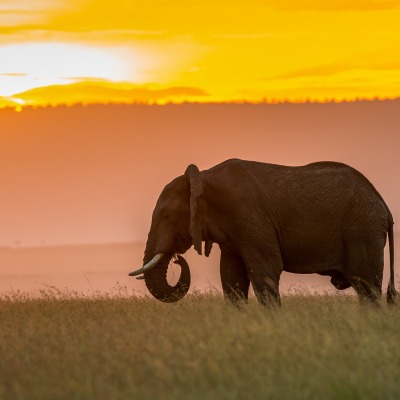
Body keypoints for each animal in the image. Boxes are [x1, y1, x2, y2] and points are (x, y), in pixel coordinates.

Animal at [129, 159, 396, 306]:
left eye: (166, 216)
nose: (177, 259)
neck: (202, 177)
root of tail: (384, 206)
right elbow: (231, 277)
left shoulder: (250, 217)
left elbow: (265, 271)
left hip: (362, 231)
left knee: (367, 287)